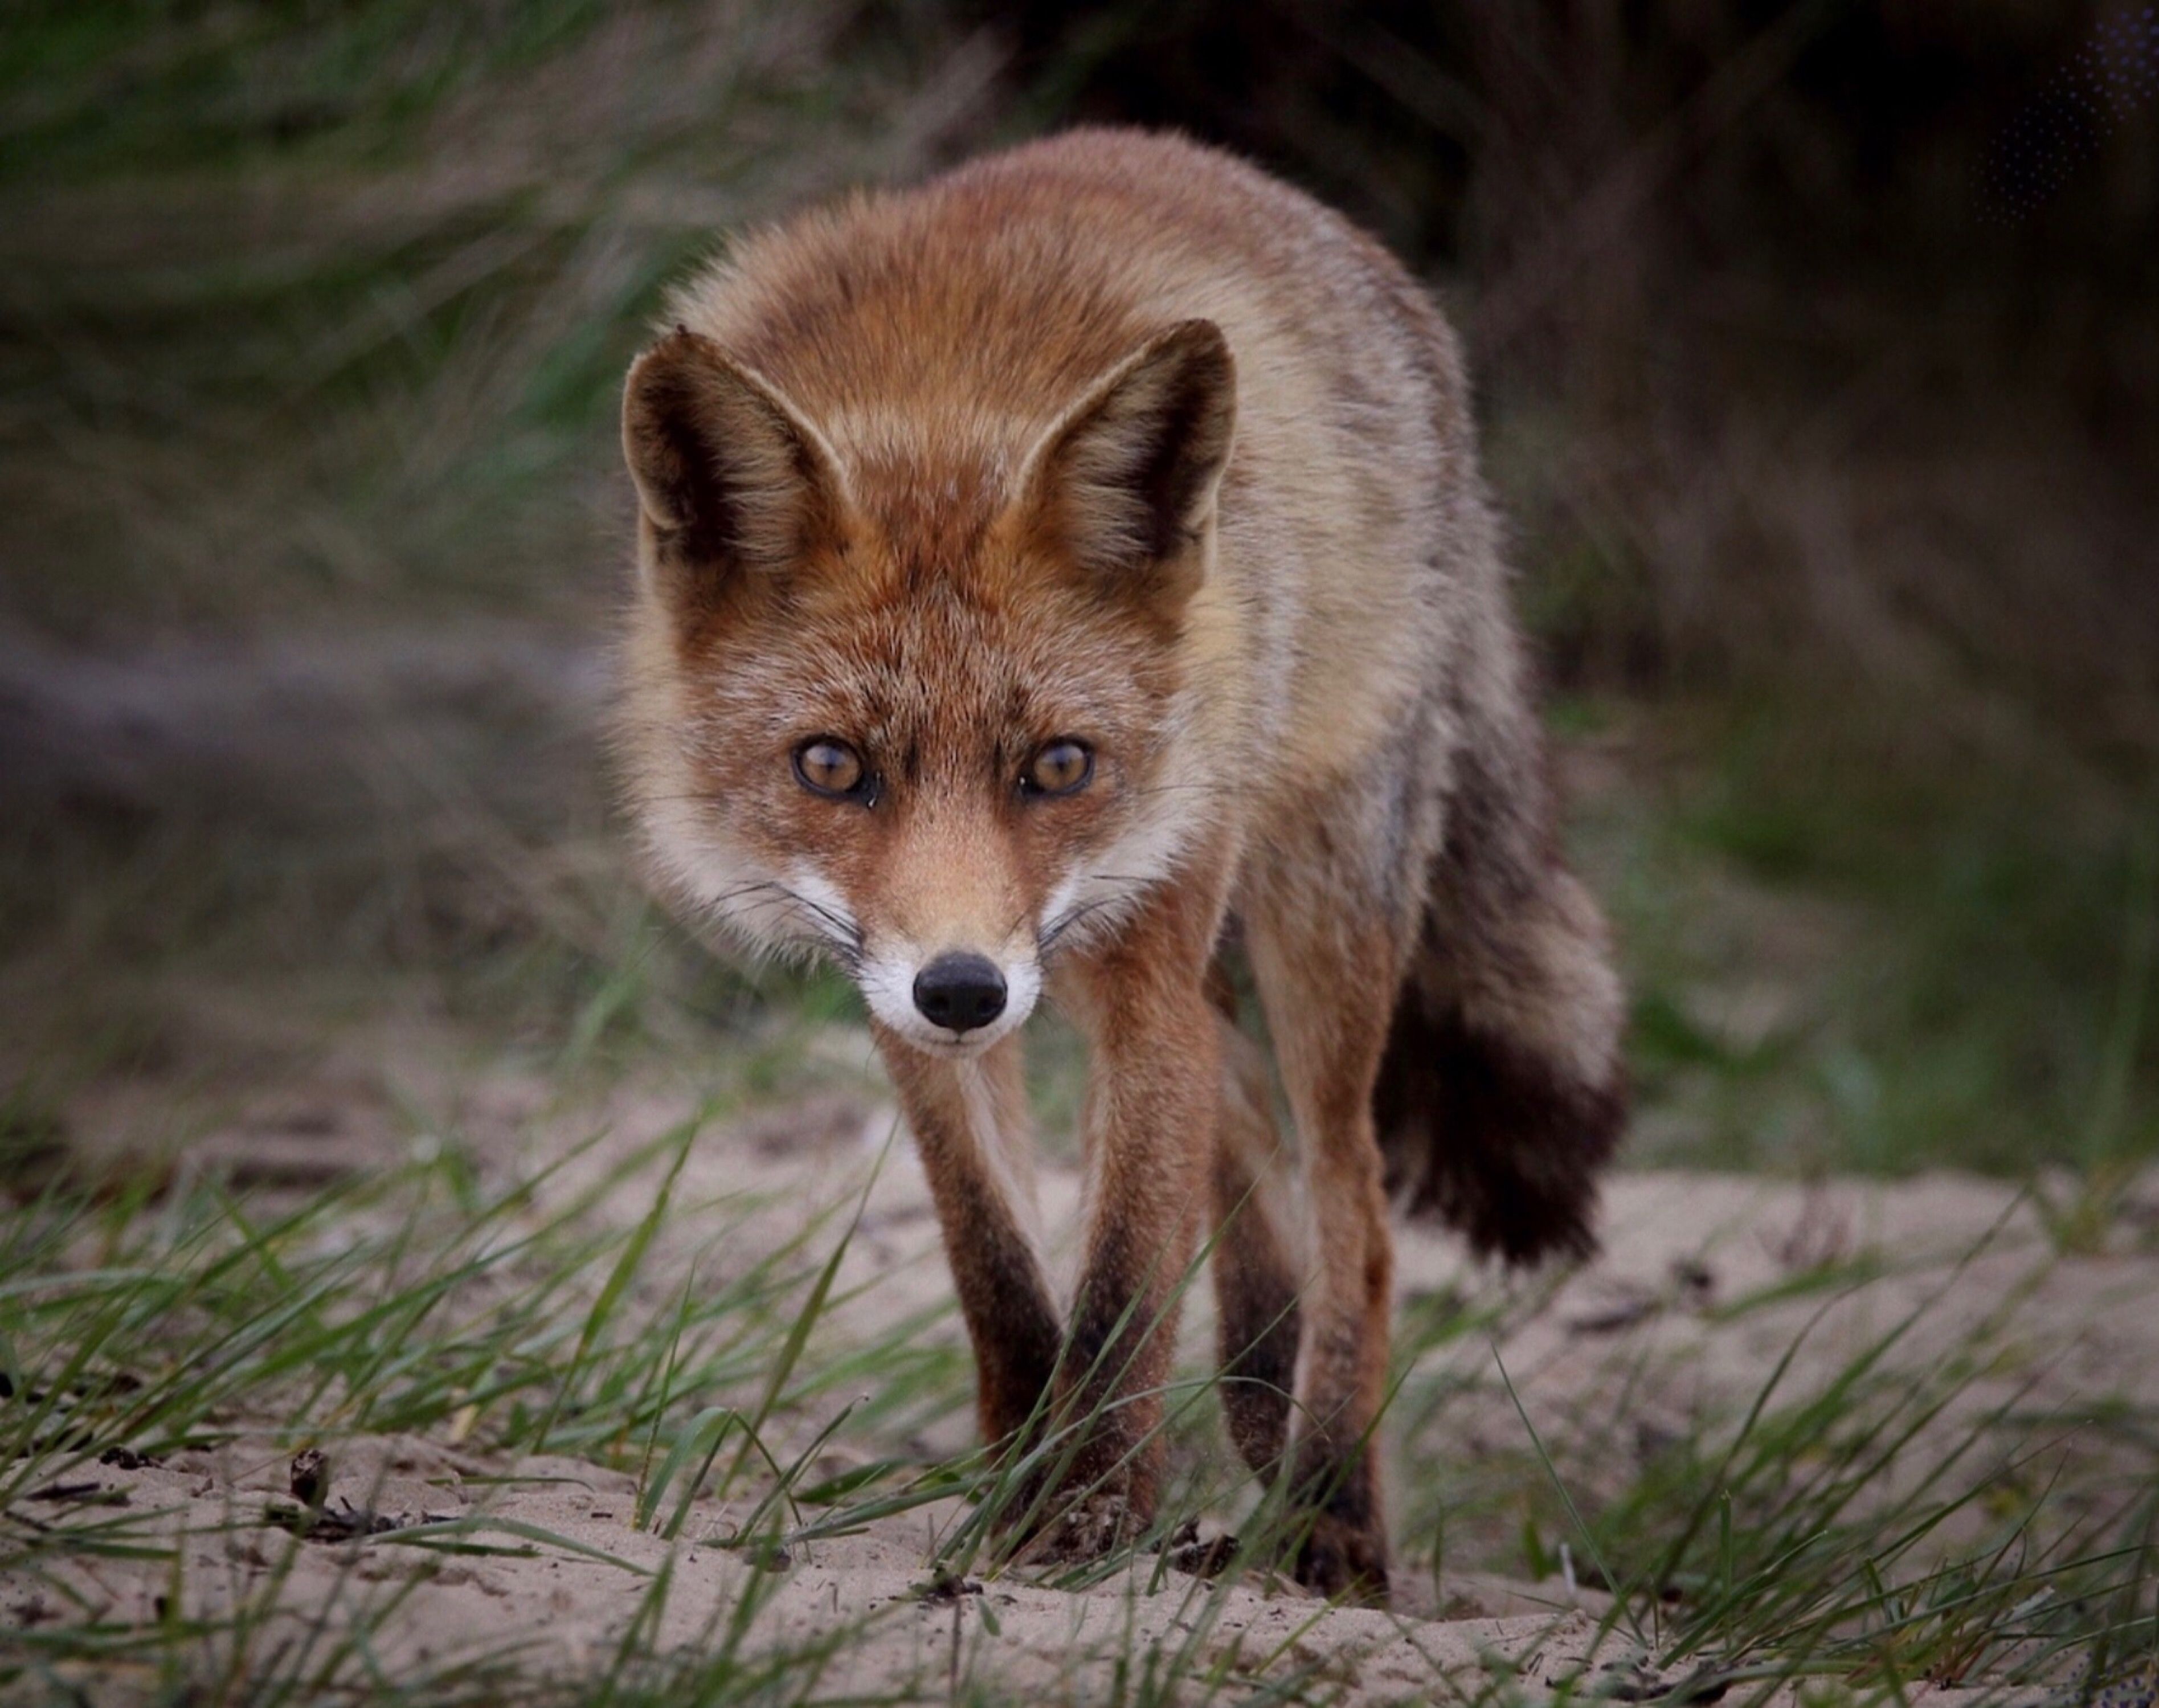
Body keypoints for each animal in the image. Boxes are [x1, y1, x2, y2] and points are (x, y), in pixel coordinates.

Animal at [613, 128, 1625, 1602]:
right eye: (831, 766)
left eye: (1057, 763)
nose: (964, 990)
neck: (943, 396)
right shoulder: (903, 1002)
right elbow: (999, 1266)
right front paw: (1029, 1472)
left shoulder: (1132, 975)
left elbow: (1124, 1284)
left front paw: (1086, 1514)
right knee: (1242, 1120)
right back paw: (1262, 1388)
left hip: (1308, 908)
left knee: (1351, 1202)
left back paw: (1331, 1512)